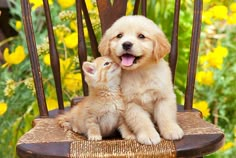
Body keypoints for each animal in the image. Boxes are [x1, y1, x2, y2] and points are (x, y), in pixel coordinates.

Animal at [98, 15, 183, 145]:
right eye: (119, 36)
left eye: (141, 36)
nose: (126, 44)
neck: (140, 72)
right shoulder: (130, 103)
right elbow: (141, 121)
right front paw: (149, 135)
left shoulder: (164, 96)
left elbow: (166, 116)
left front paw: (171, 130)